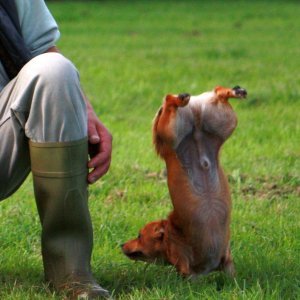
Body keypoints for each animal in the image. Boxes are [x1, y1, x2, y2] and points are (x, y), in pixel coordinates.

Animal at [122, 85, 246, 276]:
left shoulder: (185, 267)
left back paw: (178, 99)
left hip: (170, 132)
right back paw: (233, 91)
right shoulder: (226, 261)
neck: (170, 234)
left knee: (169, 101)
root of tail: (194, 107)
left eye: (139, 235)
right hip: (224, 120)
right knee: (219, 93)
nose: (121, 244)